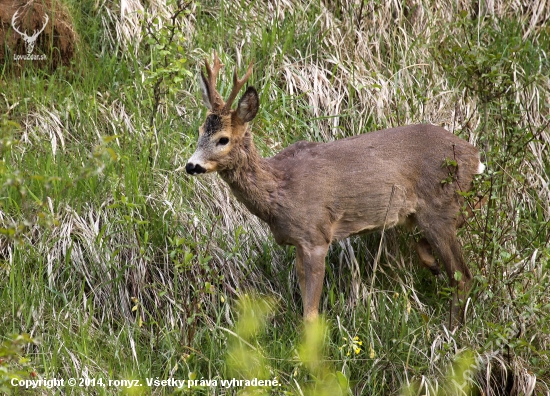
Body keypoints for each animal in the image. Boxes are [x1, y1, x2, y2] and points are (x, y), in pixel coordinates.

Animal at [187, 52, 488, 324]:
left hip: (438, 206)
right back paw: (433, 266)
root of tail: (473, 154)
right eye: (200, 132)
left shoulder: (316, 235)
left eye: (223, 139)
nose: (191, 166)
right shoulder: (299, 241)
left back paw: (452, 330)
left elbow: (310, 314)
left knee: (463, 276)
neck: (280, 188)